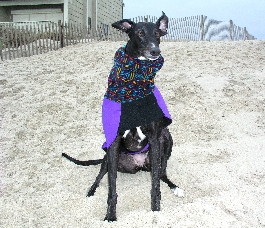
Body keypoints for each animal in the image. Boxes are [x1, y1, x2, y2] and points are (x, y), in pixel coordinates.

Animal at [62, 11, 183, 222]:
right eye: (140, 33)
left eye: (157, 34)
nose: (155, 51)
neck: (133, 86)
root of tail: (139, 165)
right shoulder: (114, 141)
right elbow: (112, 189)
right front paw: (110, 216)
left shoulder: (155, 137)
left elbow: (155, 185)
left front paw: (156, 210)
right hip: (108, 156)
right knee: (100, 174)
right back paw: (91, 191)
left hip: (166, 138)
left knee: (161, 173)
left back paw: (174, 187)